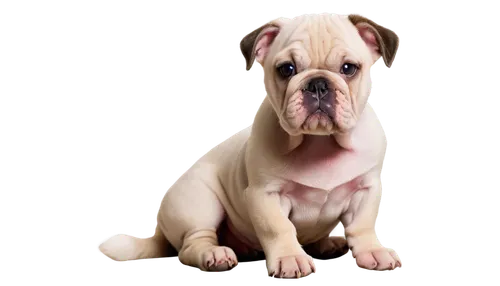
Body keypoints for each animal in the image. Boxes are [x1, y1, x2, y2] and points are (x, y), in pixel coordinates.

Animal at [96, 12, 402, 280]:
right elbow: (278, 228)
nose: (318, 84)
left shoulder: (366, 189)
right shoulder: (265, 194)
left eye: (349, 69)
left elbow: (362, 225)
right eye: (286, 69)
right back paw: (215, 255)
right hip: (199, 203)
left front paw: (372, 252)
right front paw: (290, 258)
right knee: (192, 244)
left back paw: (329, 243)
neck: (319, 141)